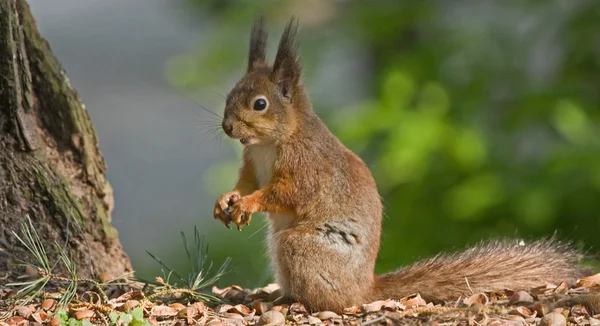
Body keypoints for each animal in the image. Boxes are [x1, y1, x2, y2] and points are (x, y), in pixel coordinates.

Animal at [213, 16, 592, 312]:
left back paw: (295, 301)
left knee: (332, 301)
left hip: (300, 247)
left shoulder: (307, 166)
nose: (228, 127)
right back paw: (276, 297)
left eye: (260, 103)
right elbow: (246, 182)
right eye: (230, 93)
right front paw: (226, 201)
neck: (269, 143)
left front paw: (248, 203)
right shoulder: (251, 163)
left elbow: (286, 192)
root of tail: (365, 288)